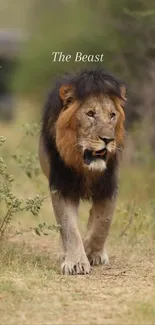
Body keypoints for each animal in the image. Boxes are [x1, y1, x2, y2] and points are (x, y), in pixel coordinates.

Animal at [38, 67, 126, 274]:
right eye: (90, 113)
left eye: (112, 115)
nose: (108, 139)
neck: (86, 167)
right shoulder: (62, 186)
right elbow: (68, 226)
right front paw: (76, 262)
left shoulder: (109, 186)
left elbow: (103, 222)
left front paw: (92, 252)